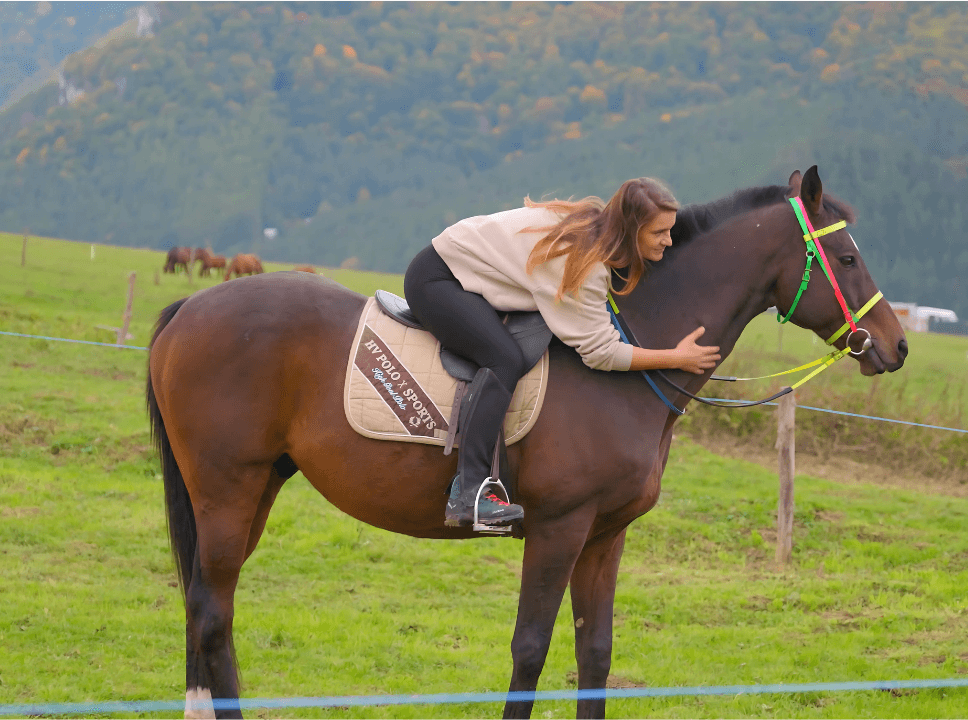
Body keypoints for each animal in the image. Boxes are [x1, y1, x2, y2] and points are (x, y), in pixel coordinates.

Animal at [146, 166, 908, 716]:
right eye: (846, 256)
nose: (896, 345)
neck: (628, 364)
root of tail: (192, 307)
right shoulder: (558, 528)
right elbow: (531, 649)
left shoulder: (604, 536)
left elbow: (595, 654)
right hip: (227, 489)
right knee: (212, 614)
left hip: (252, 490)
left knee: (205, 607)